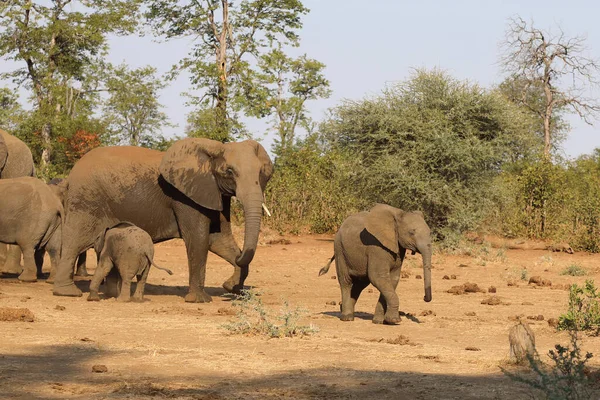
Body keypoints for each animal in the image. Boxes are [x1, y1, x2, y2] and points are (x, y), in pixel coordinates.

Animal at [52, 138, 274, 304]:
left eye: (264, 173)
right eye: (229, 172)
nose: (229, 287)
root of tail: (72, 172)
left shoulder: (213, 192)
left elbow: (219, 239)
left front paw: (231, 286)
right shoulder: (184, 196)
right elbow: (199, 239)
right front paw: (199, 300)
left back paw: (109, 294)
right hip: (86, 201)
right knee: (75, 241)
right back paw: (68, 293)